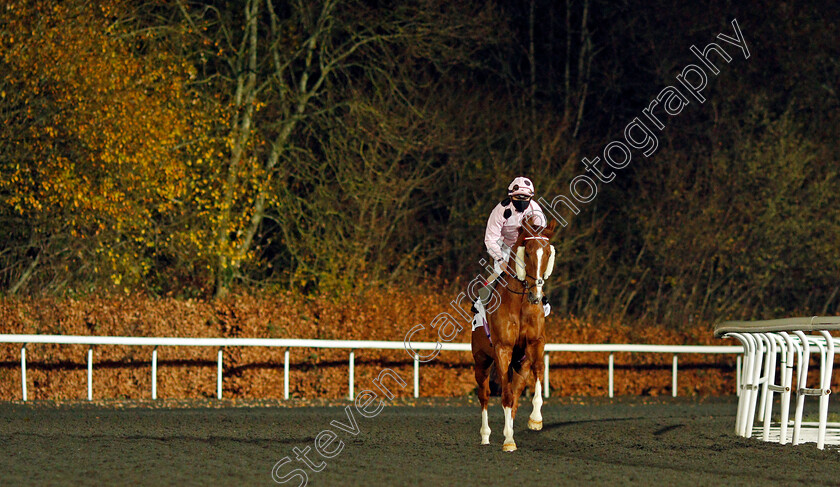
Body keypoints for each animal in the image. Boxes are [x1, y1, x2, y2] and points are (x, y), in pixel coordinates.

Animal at [470, 218, 556, 454]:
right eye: (527, 252)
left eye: (547, 253)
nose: (536, 294)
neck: (520, 302)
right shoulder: (502, 348)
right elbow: (504, 396)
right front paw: (508, 440)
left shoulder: (535, 343)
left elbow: (538, 371)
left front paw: (535, 419)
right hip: (481, 360)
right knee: (485, 394)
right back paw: (486, 436)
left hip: (520, 364)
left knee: (516, 393)